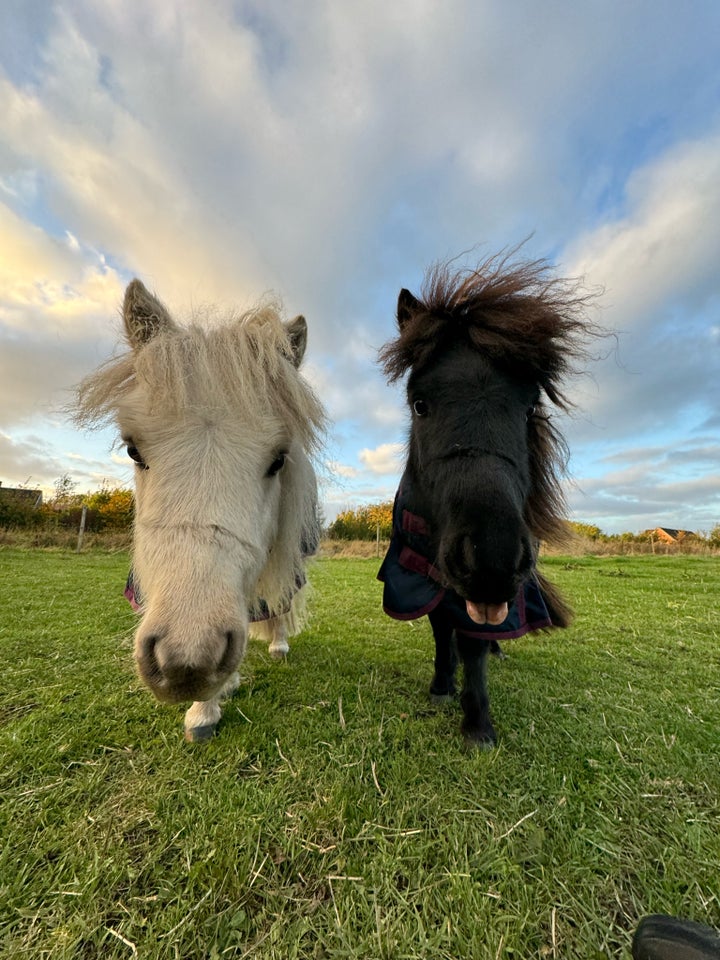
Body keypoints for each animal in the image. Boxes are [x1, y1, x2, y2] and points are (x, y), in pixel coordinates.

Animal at [380, 251, 600, 748]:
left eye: (528, 407)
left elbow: (473, 644)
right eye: (419, 404)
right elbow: (442, 630)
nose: (491, 556)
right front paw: (442, 685)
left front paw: (478, 724)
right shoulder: (419, 574)